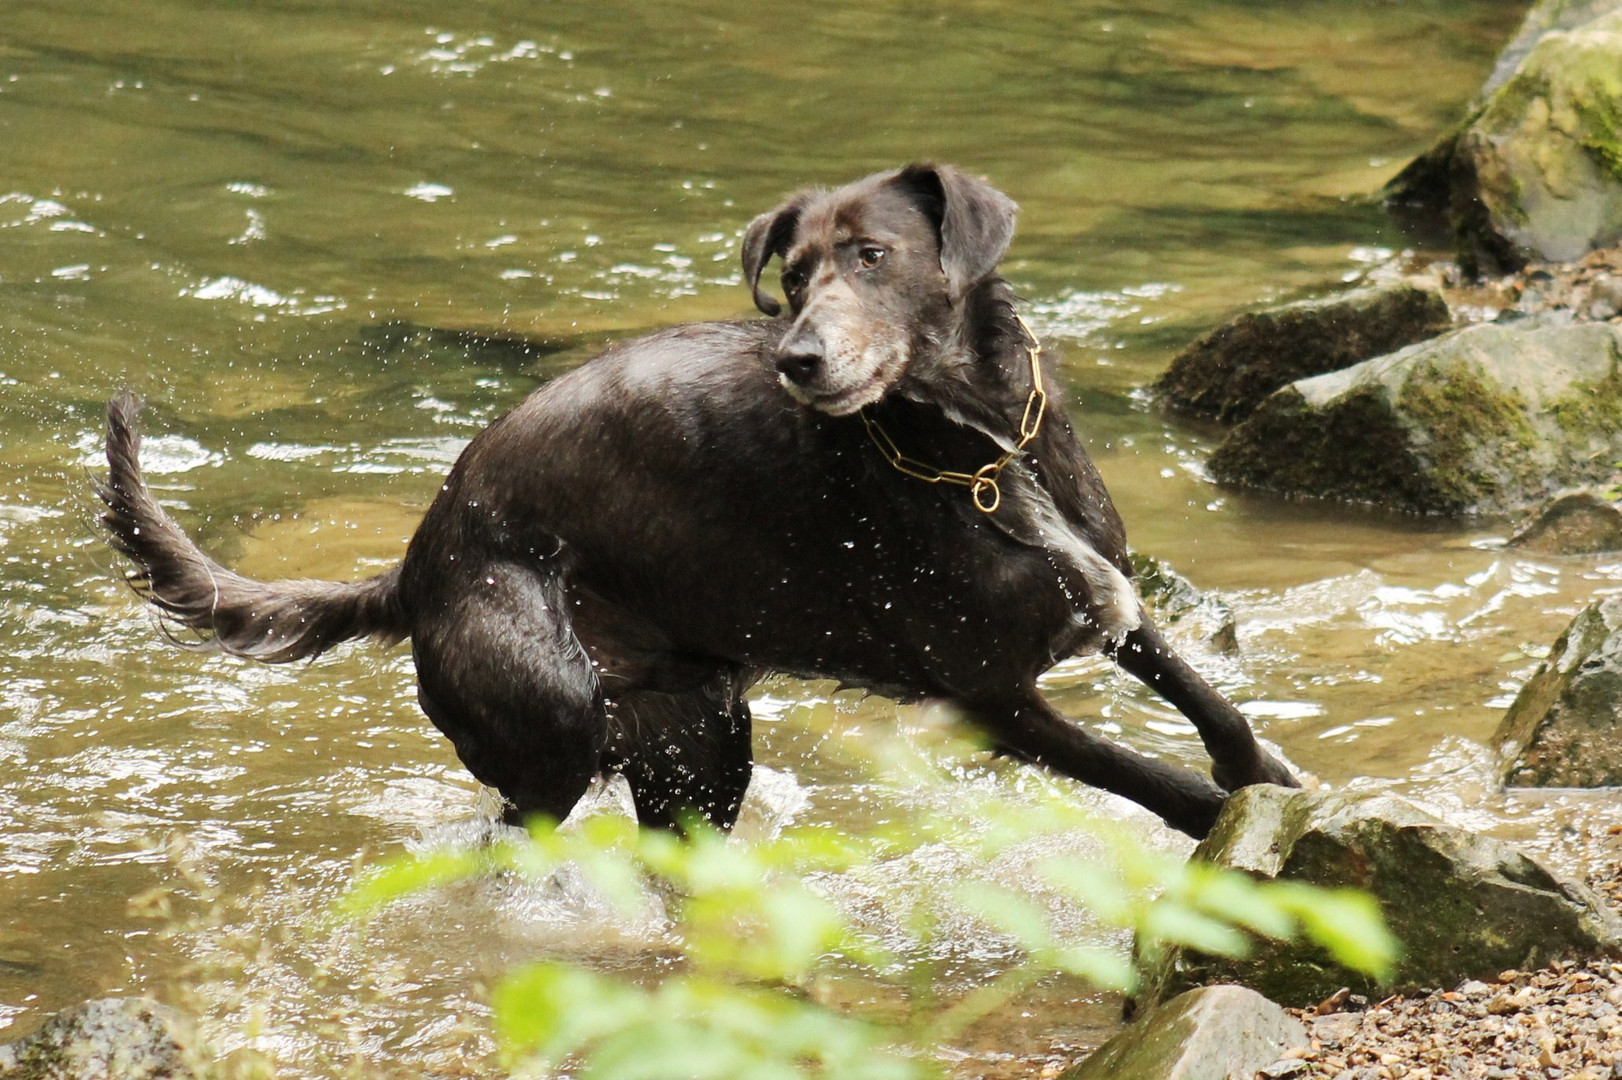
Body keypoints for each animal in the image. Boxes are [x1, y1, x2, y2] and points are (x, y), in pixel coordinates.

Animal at [98, 166, 1291, 843]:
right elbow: (1152, 777)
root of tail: (418, 558)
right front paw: (1240, 835)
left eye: (873, 256)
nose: (798, 359)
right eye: (793, 276)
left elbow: (1207, 701)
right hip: (553, 725)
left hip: (705, 739)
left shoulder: (1107, 593)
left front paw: (1262, 771)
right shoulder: (995, 700)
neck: (972, 456)